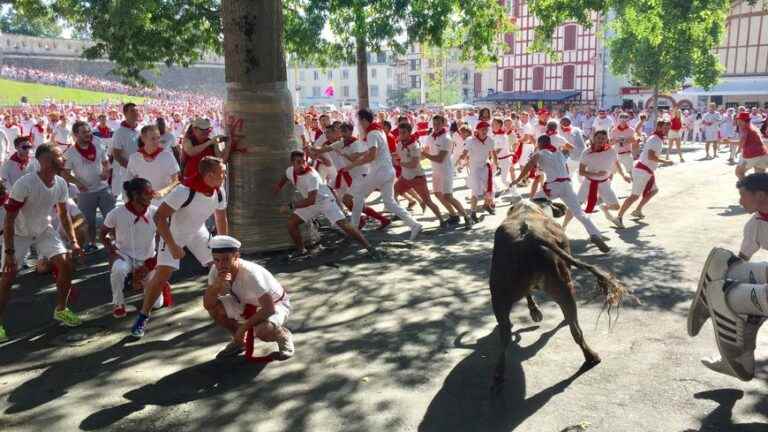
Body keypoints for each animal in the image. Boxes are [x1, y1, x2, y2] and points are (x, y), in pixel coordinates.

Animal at [488, 198, 628, 384]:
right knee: (575, 329)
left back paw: (498, 372)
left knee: (504, 334)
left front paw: (535, 312)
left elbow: (528, 294)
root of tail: (530, 237)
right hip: (564, 287)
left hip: (498, 296)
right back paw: (591, 357)